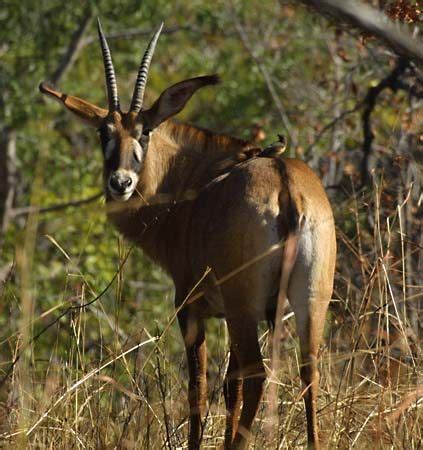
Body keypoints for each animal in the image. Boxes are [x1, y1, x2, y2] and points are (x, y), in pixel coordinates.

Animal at [40, 19, 338, 448]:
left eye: (145, 132)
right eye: (103, 133)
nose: (121, 182)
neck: (191, 180)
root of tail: (286, 186)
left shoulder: (191, 307)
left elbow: (198, 388)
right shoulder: (229, 315)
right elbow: (229, 386)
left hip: (244, 305)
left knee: (256, 374)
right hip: (310, 300)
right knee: (307, 370)